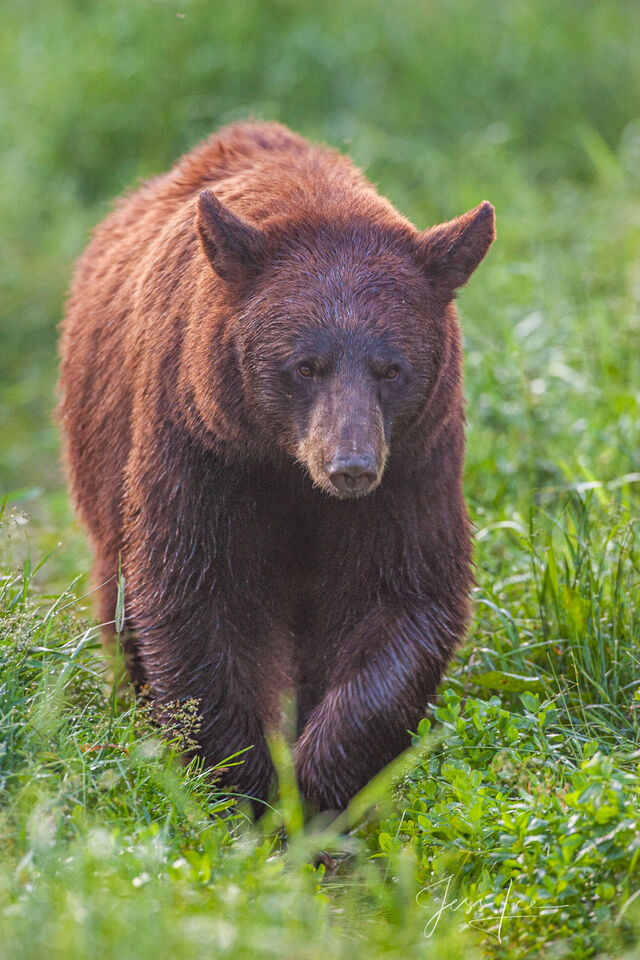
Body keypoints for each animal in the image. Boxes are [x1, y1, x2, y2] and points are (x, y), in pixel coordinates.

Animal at [58, 118, 496, 808]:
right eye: (306, 365)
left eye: (391, 368)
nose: (350, 465)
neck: (289, 471)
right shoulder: (203, 449)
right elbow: (196, 594)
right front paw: (248, 783)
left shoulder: (413, 464)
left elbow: (402, 595)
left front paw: (320, 783)